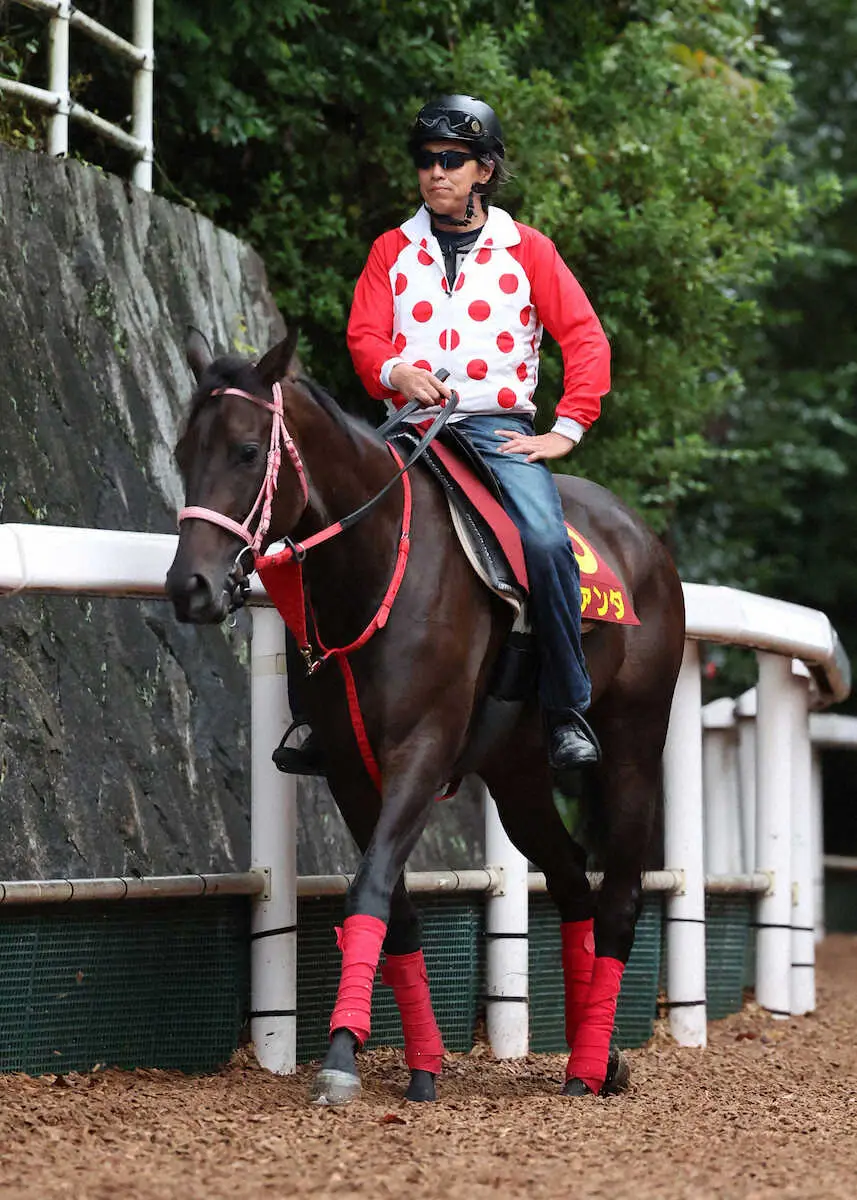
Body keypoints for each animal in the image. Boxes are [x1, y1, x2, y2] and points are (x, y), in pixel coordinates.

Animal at [166, 331, 686, 1104]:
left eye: (247, 449)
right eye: (181, 451)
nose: (189, 586)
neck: (377, 562)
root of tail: (646, 542)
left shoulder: (424, 748)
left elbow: (372, 883)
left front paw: (342, 1055)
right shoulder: (350, 768)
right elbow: (395, 905)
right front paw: (420, 1063)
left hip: (631, 750)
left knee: (619, 896)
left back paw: (588, 1066)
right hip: (518, 776)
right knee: (571, 882)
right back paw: (591, 1056)